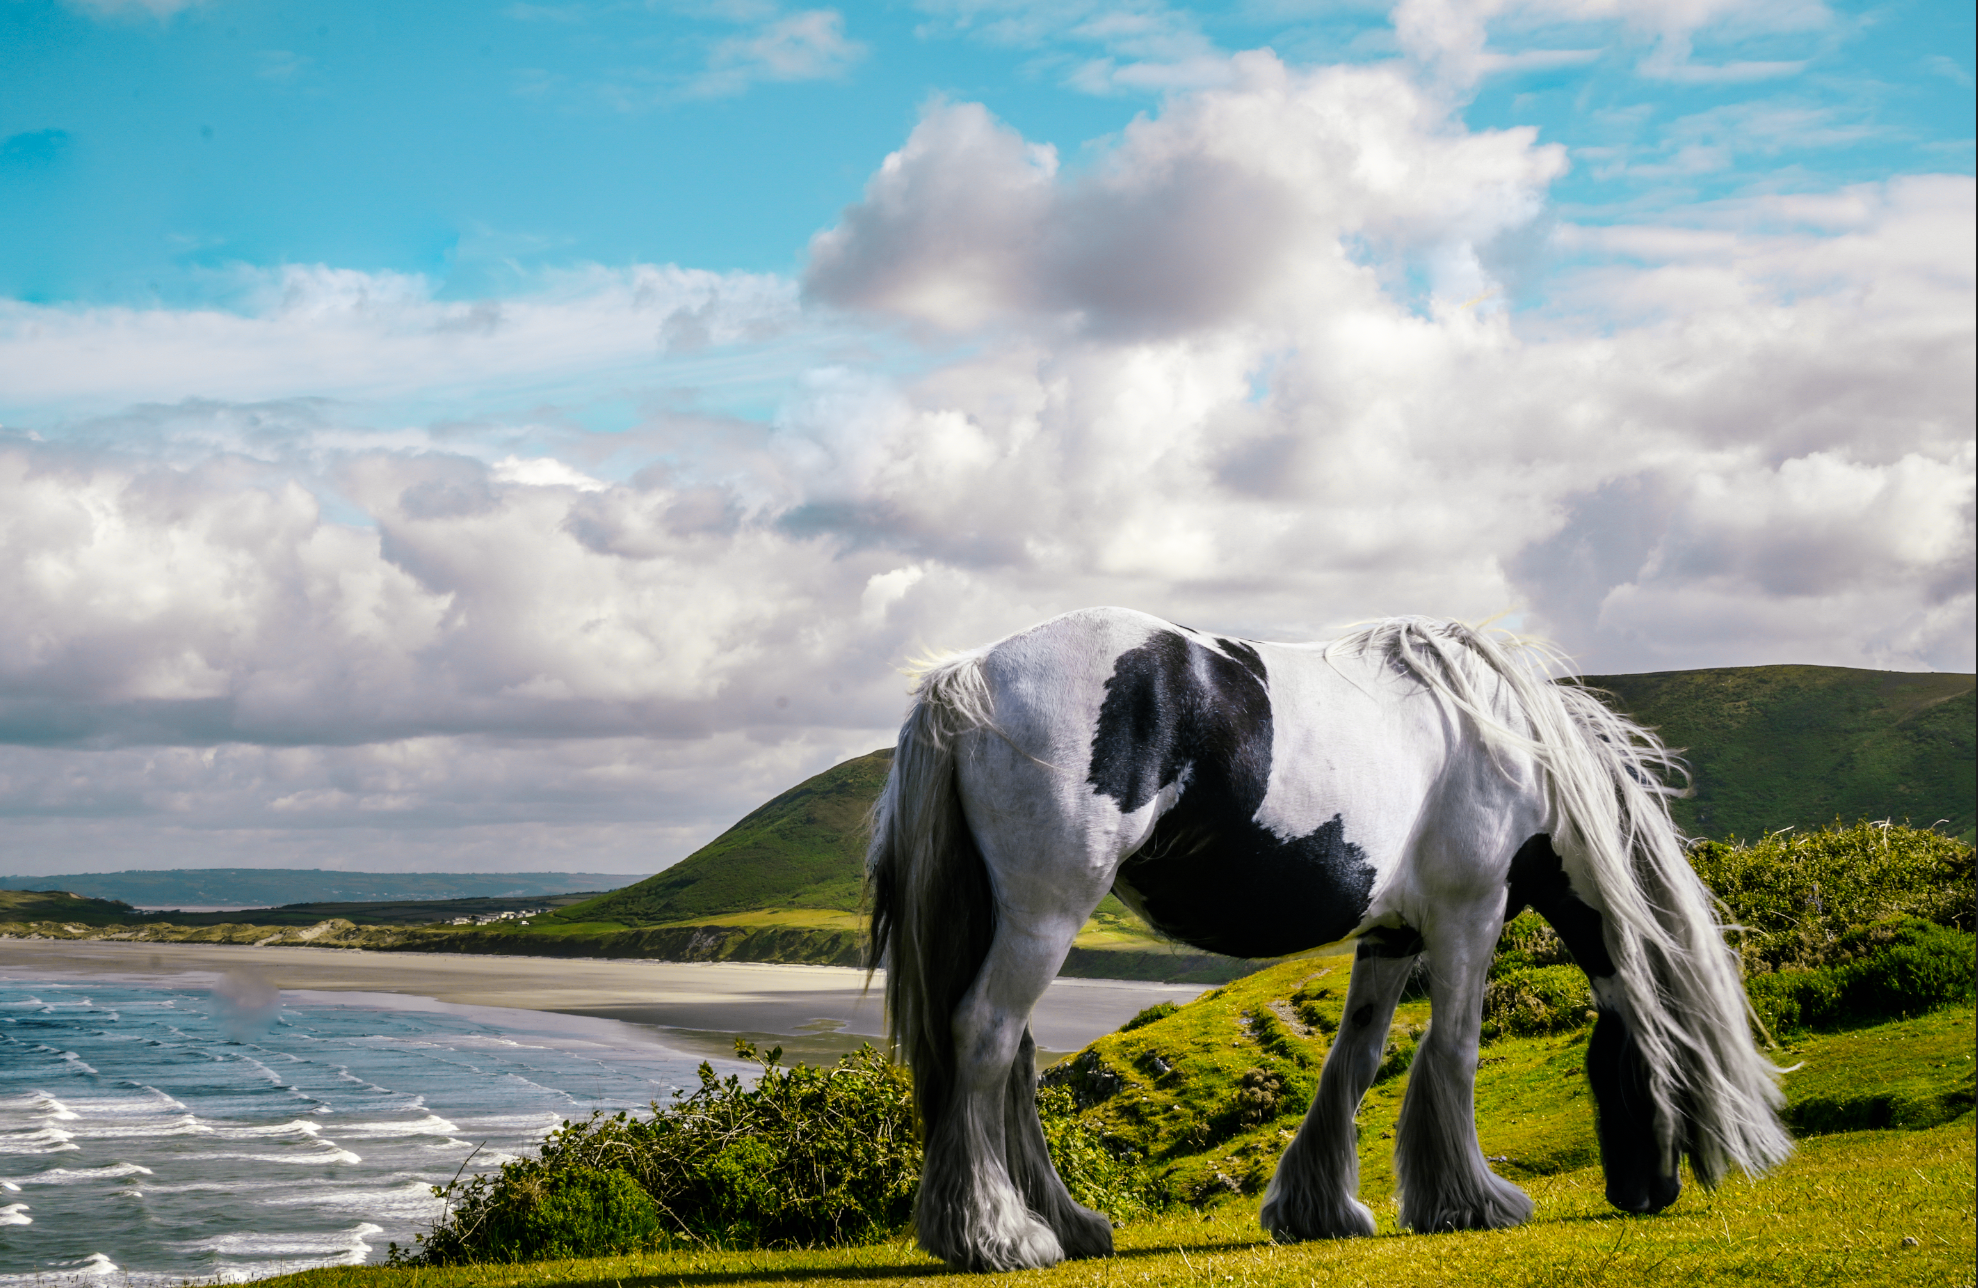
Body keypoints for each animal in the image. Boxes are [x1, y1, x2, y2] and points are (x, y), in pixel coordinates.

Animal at [865, 607, 1791, 1271]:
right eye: (1675, 1074)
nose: (1656, 1193)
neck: (1517, 749)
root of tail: (969, 675)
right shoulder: (1469, 915)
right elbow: (1454, 1051)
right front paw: (1473, 1201)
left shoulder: (1391, 936)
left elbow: (1358, 1058)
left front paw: (1320, 1210)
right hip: (1046, 914)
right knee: (986, 1039)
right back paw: (998, 1237)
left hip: (1016, 920)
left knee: (1015, 1060)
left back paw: (1068, 1225)